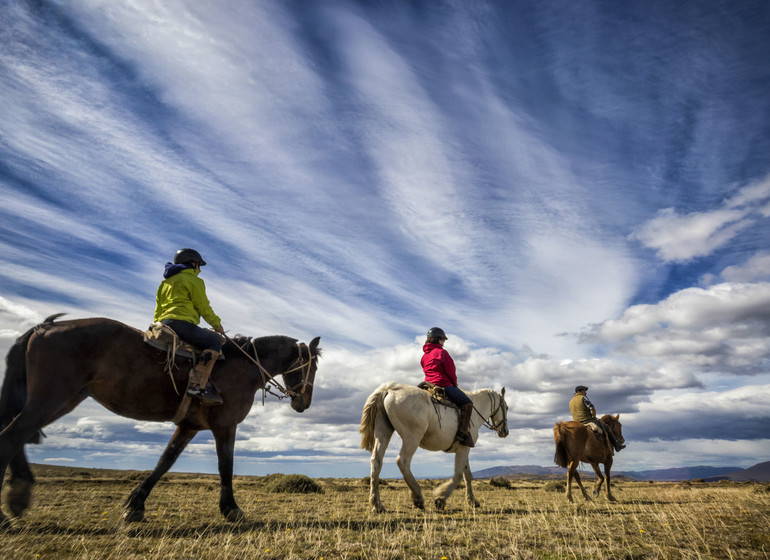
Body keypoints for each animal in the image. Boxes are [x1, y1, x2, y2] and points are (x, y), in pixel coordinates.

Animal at [0, 316, 320, 524]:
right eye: (312, 367)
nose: (304, 403)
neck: (241, 367)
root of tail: (44, 328)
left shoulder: (189, 426)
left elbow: (165, 461)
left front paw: (135, 505)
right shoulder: (225, 426)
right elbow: (225, 466)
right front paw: (231, 510)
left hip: (62, 400)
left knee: (16, 437)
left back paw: (18, 495)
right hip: (50, 399)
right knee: (11, 437)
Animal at [358, 382, 508, 516]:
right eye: (506, 407)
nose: (505, 431)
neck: (476, 410)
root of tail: (389, 390)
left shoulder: (464, 448)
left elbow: (467, 475)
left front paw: (472, 501)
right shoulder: (464, 449)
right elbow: (459, 475)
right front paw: (441, 499)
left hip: (383, 432)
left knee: (376, 462)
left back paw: (377, 505)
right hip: (412, 437)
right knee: (402, 461)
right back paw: (418, 497)